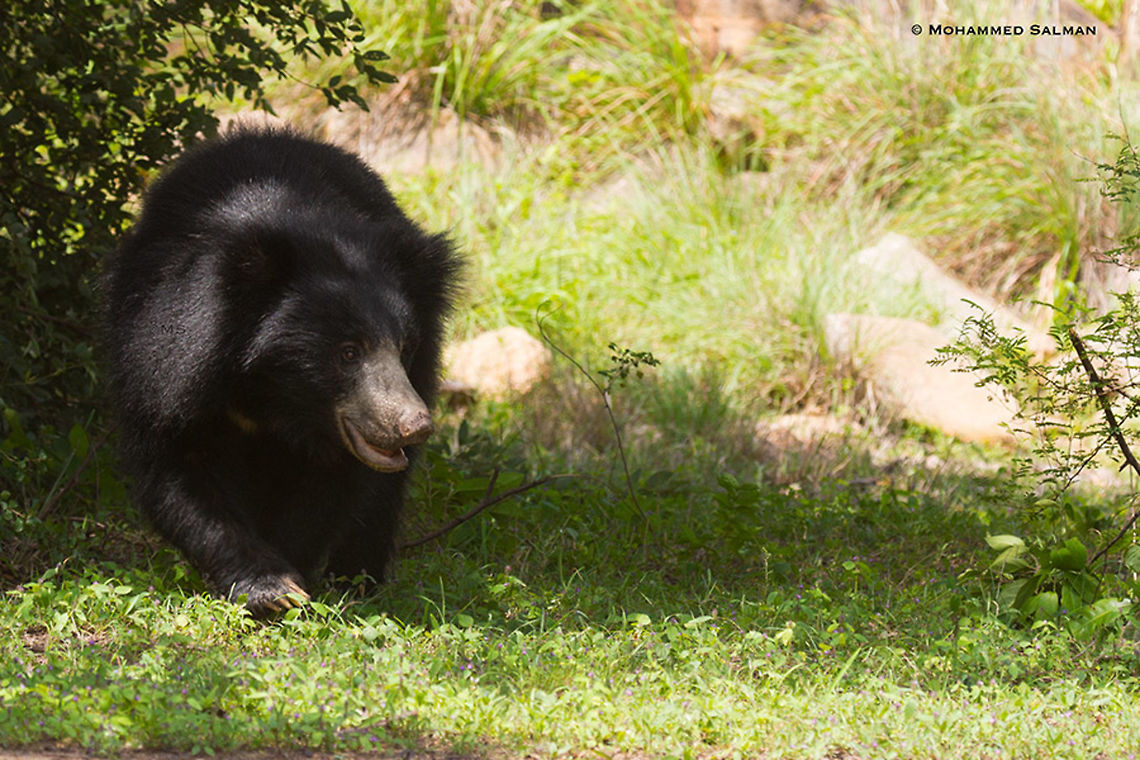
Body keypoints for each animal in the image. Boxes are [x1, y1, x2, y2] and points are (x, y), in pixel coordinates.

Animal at [104, 126, 461, 616]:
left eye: (403, 347)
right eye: (348, 352)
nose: (413, 425)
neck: (277, 394)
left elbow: (331, 488)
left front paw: (293, 576)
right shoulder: (165, 362)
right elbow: (179, 468)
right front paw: (271, 588)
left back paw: (358, 576)